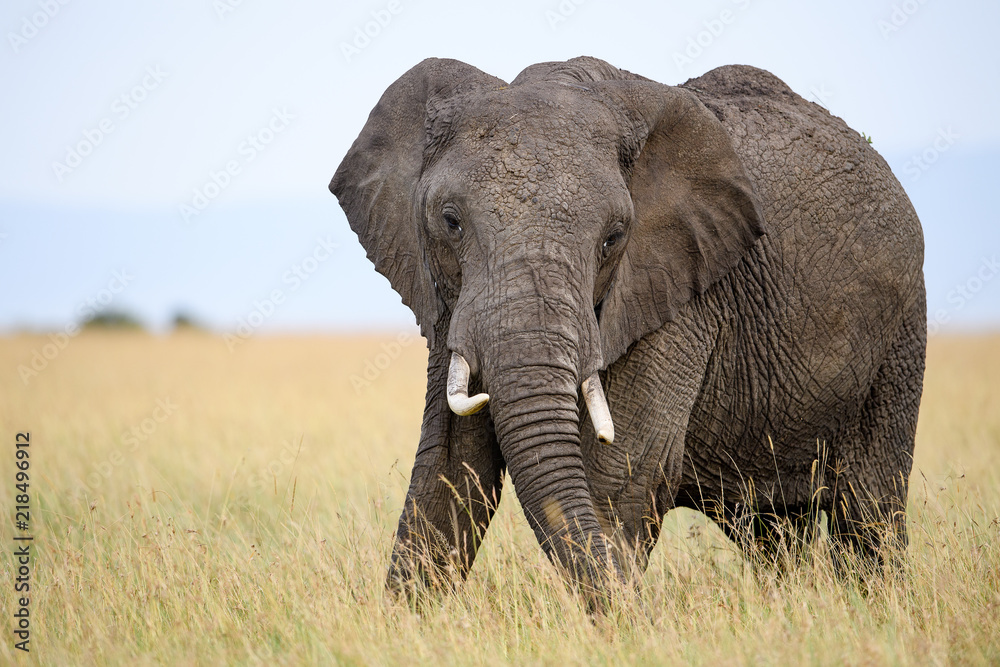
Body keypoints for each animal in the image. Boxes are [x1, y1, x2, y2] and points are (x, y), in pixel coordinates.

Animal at [330, 57, 926, 596]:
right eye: (450, 222)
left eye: (614, 238)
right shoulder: (444, 296)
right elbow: (448, 472)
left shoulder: (680, 298)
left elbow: (615, 481)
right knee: (775, 531)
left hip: (900, 332)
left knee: (869, 514)